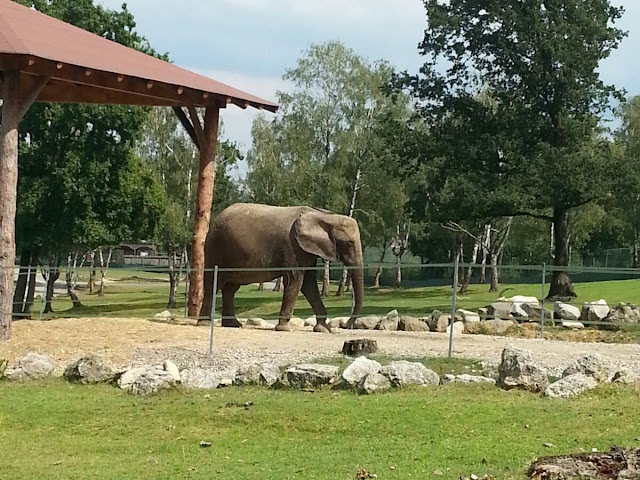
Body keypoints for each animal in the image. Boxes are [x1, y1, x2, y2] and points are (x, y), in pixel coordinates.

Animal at [198, 203, 362, 334]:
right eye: (349, 243)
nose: (345, 325)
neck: (324, 215)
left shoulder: (305, 250)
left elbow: (308, 285)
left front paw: (323, 329)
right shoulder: (292, 246)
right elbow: (295, 281)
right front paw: (284, 329)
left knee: (230, 289)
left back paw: (233, 325)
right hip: (215, 249)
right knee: (213, 284)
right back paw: (205, 324)